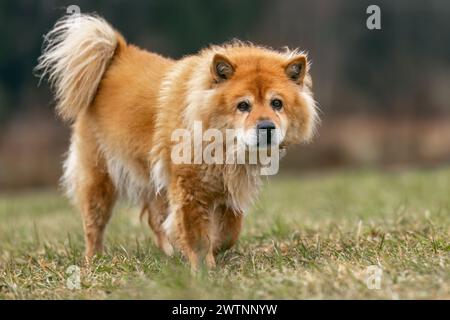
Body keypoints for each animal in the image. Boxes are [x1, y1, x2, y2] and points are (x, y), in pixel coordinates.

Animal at [36, 15, 320, 270]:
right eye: (243, 105)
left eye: (277, 103)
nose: (266, 127)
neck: (221, 147)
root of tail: (118, 54)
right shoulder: (189, 190)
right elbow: (197, 233)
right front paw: (204, 267)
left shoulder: (227, 191)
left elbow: (230, 231)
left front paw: (213, 250)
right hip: (99, 177)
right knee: (94, 225)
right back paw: (93, 259)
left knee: (156, 219)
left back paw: (169, 252)